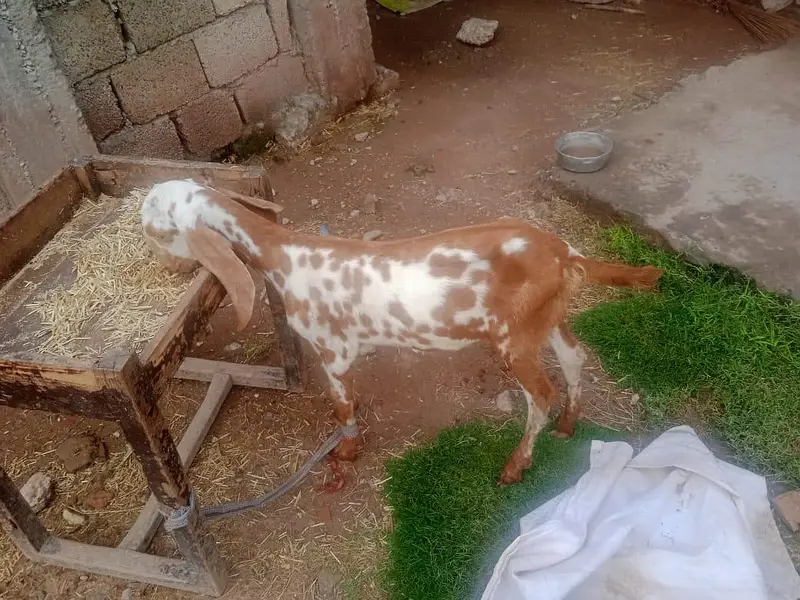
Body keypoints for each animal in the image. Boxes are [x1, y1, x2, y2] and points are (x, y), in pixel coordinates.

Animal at [141, 180, 662, 484]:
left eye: (155, 229)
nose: (163, 267)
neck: (285, 256)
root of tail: (564, 254)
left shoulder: (332, 348)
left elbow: (342, 405)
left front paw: (347, 451)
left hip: (513, 337)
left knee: (541, 394)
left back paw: (515, 466)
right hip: (544, 319)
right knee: (574, 358)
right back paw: (569, 426)